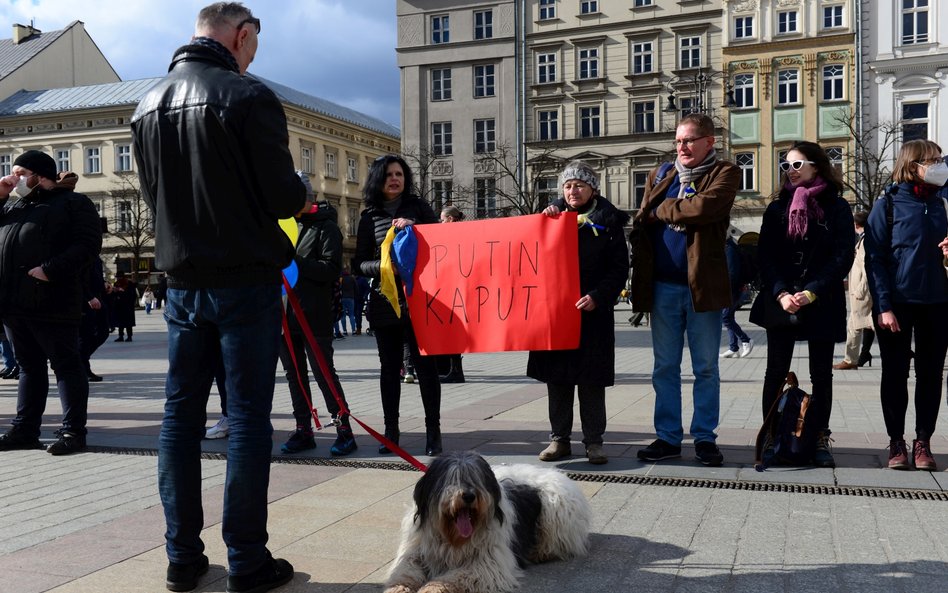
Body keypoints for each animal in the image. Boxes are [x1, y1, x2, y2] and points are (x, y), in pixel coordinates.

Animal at [382, 448, 588, 592]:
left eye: (476, 478)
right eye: (452, 478)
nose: (468, 496)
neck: (452, 538)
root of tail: (558, 474)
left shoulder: (489, 563)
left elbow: (450, 577)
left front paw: (430, 588)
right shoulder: (415, 551)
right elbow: (404, 571)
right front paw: (398, 589)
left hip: (557, 512)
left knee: (557, 542)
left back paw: (539, 552)